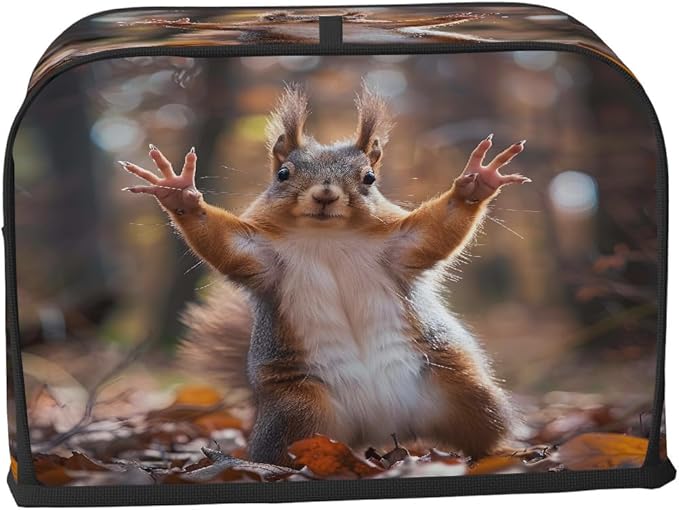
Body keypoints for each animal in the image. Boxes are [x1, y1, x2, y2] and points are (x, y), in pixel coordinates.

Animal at [119, 84, 531, 466]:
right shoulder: (260, 258)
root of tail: (380, 428)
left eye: (369, 178)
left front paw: (475, 183)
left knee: (483, 430)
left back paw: (505, 453)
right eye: (283, 174)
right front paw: (180, 195)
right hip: (298, 409)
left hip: (463, 391)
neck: (328, 236)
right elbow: (224, 245)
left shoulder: (401, 248)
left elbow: (434, 234)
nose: (325, 195)